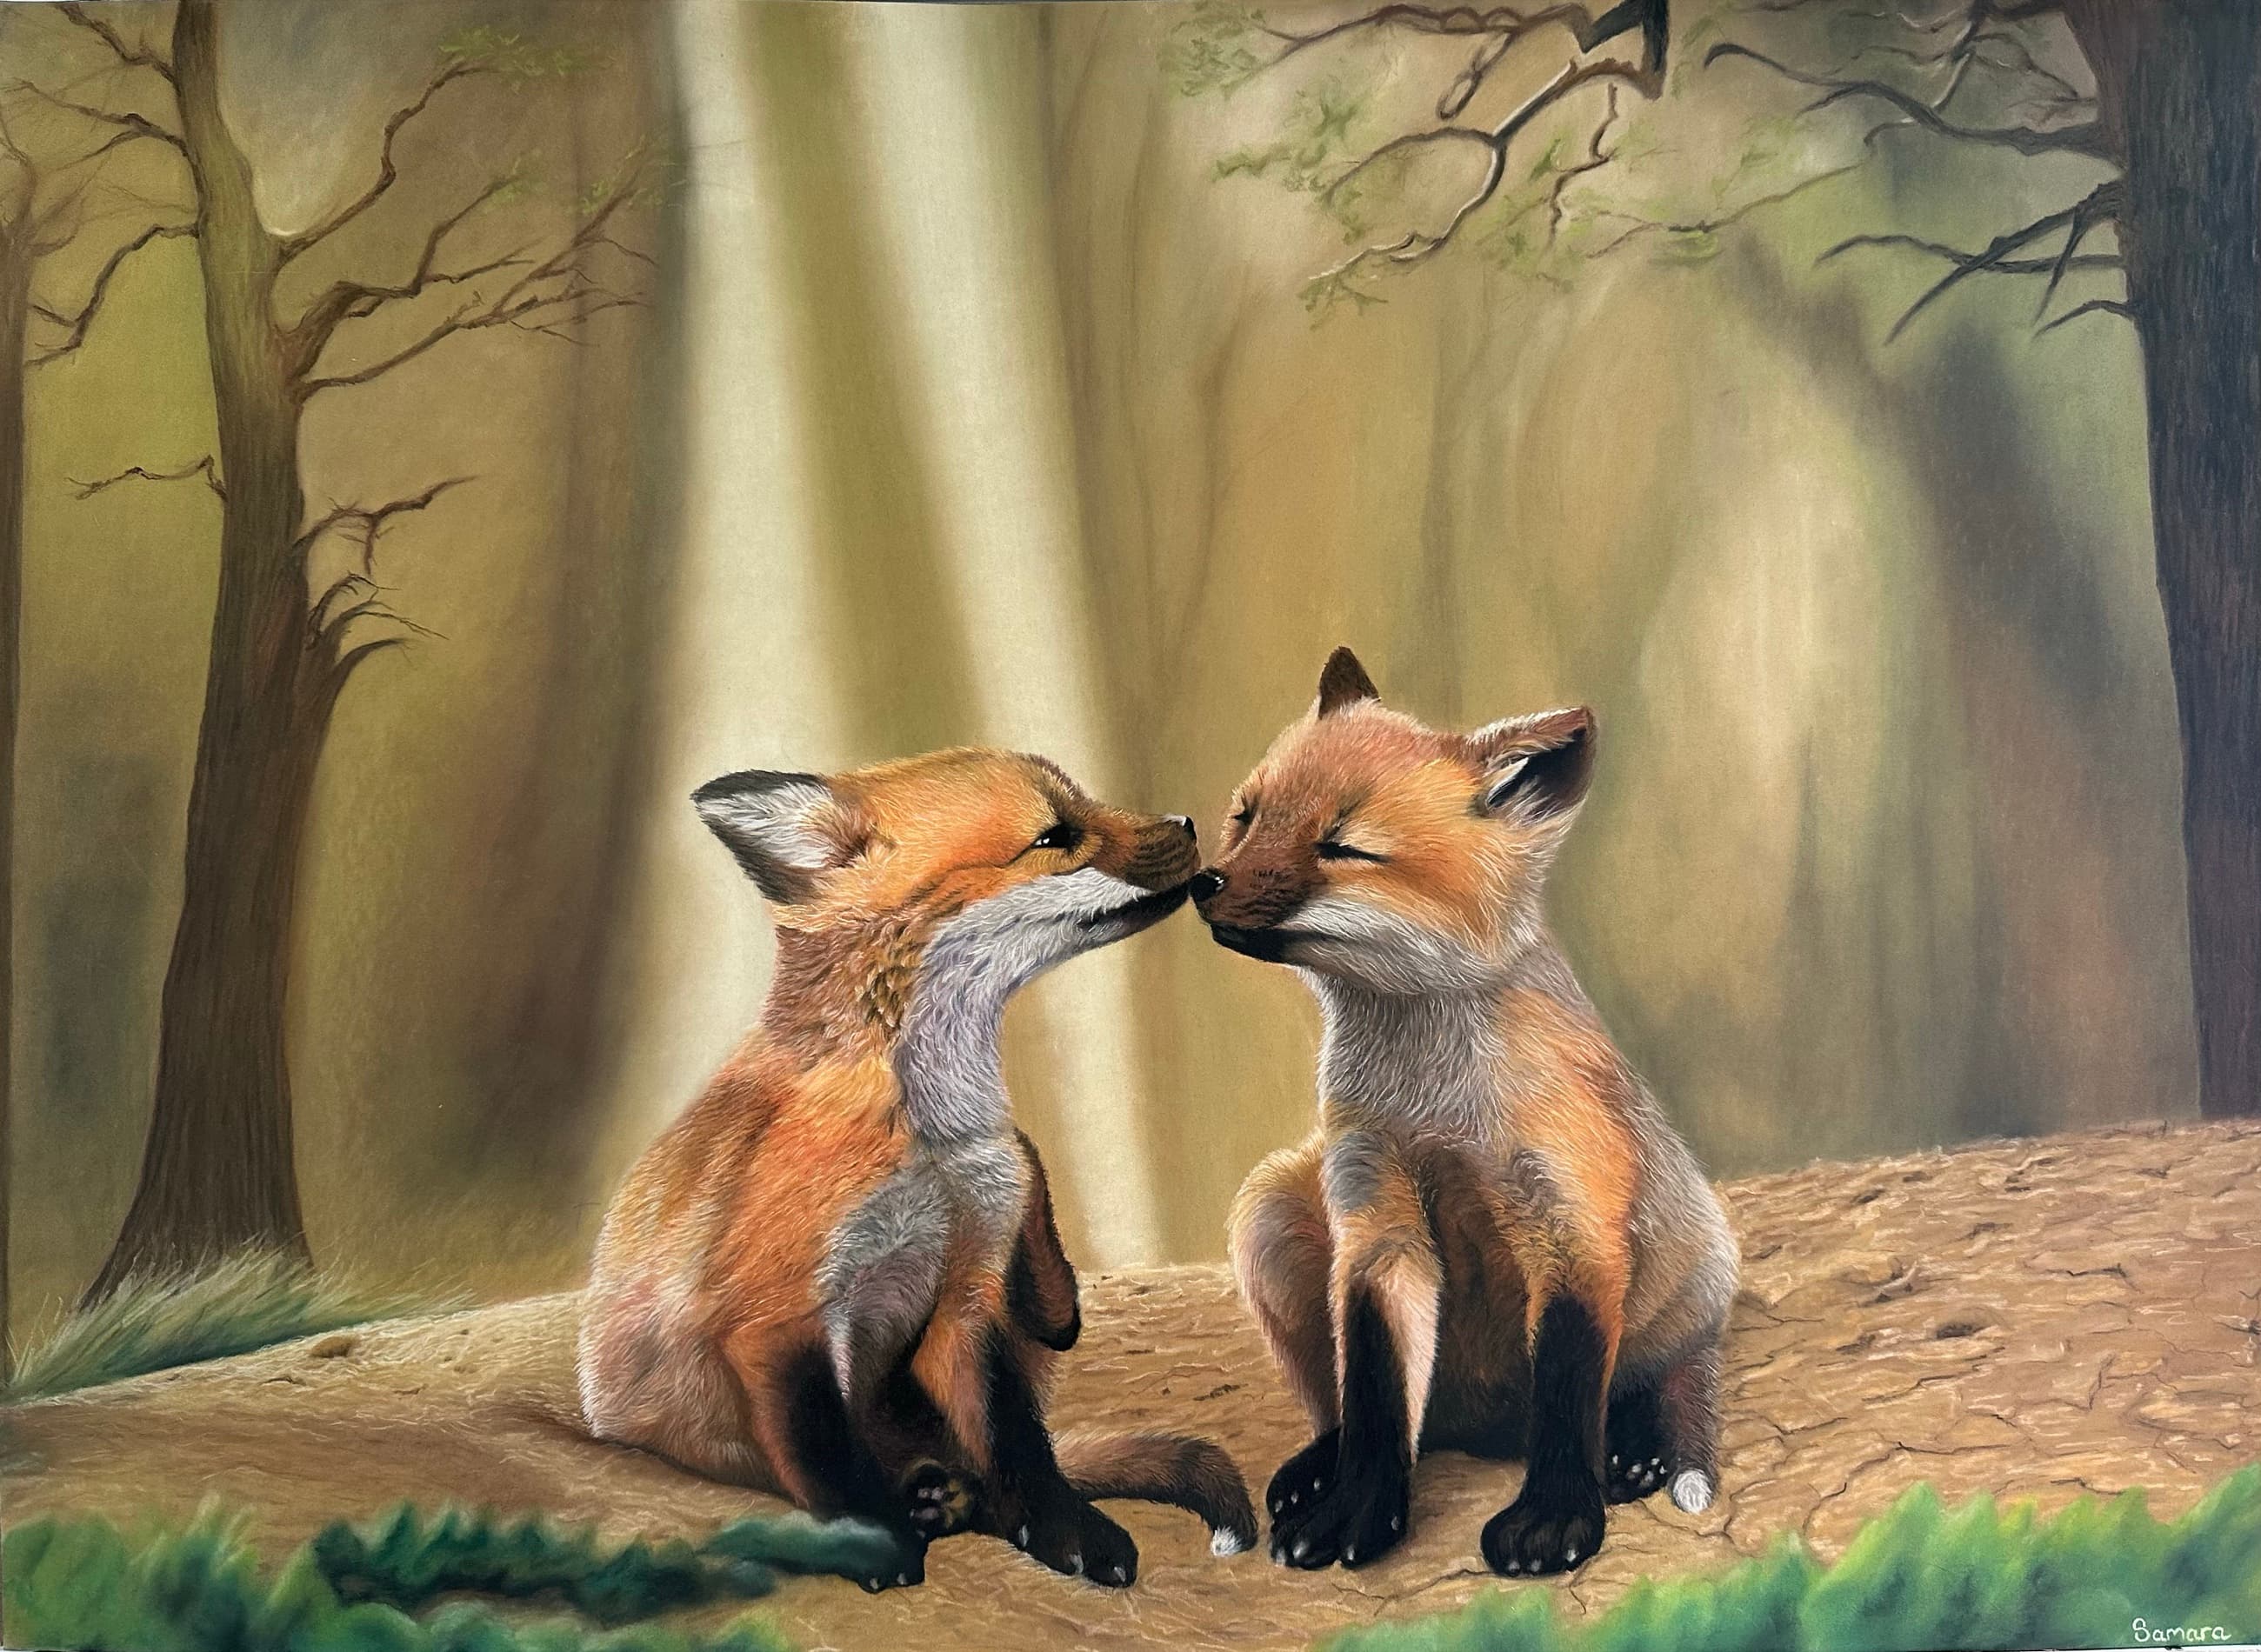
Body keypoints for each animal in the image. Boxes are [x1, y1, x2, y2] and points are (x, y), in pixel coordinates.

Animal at [578, 748, 1256, 1591]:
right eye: (1055, 835)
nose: (1190, 823)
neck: (935, 1142)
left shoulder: (971, 1295)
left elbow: (1020, 1448)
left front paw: (1067, 1533)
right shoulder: (776, 1321)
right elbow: (831, 1457)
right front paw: (875, 1545)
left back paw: (949, 1496)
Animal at [1192, 648, 1737, 1579]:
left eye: (1344, 847)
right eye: (1247, 815)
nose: (1203, 881)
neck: (1435, 1111)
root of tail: (1486, 1431)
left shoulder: (1572, 1224)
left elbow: (1567, 1394)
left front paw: (1557, 1518)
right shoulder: (1374, 1215)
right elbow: (1376, 1397)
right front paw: (1360, 1508)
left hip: (1688, 1281)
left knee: (1651, 1381)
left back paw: (1634, 1450)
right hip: (1270, 1212)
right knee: (1363, 1410)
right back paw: (1319, 1466)